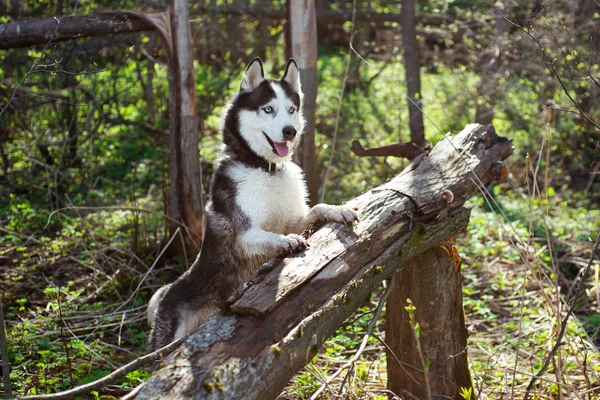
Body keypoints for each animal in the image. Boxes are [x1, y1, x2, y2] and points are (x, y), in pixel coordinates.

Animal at [148, 58, 358, 350]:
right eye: (268, 109)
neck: (265, 169)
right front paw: (287, 241)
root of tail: (167, 293)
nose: (290, 131)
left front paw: (337, 209)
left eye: (291, 109)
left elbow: (315, 209)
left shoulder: (294, 219)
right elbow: (271, 236)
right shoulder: (244, 236)